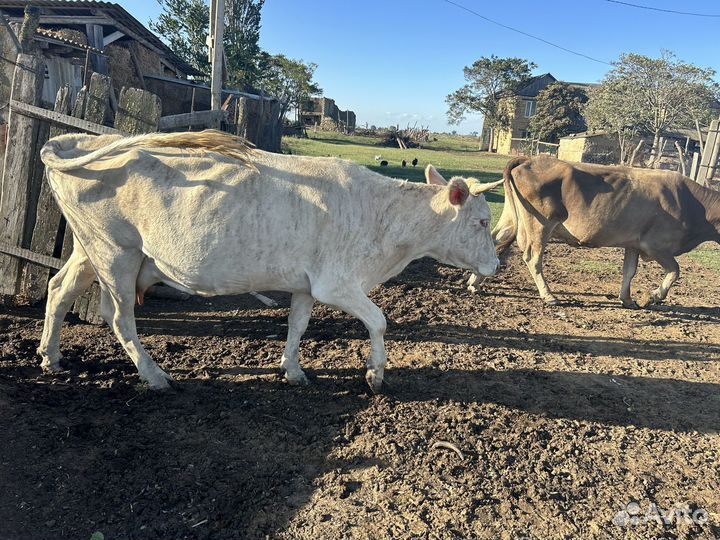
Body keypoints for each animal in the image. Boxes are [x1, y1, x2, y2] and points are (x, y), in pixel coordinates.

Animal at [38, 130, 502, 392]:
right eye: (481, 220)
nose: (497, 266)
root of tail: (83, 140)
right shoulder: (336, 283)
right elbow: (379, 321)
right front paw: (375, 375)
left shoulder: (306, 282)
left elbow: (297, 325)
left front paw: (292, 371)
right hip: (115, 252)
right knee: (118, 317)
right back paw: (155, 377)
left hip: (89, 250)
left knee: (58, 289)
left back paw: (51, 357)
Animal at [485, 155, 720, 308]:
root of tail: (528, 160)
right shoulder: (656, 246)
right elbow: (675, 270)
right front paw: (654, 296)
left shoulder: (633, 244)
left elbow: (629, 271)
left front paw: (627, 299)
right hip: (540, 223)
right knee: (532, 258)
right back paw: (549, 296)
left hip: (512, 217)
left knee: (494, 239)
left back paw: (477, 283)